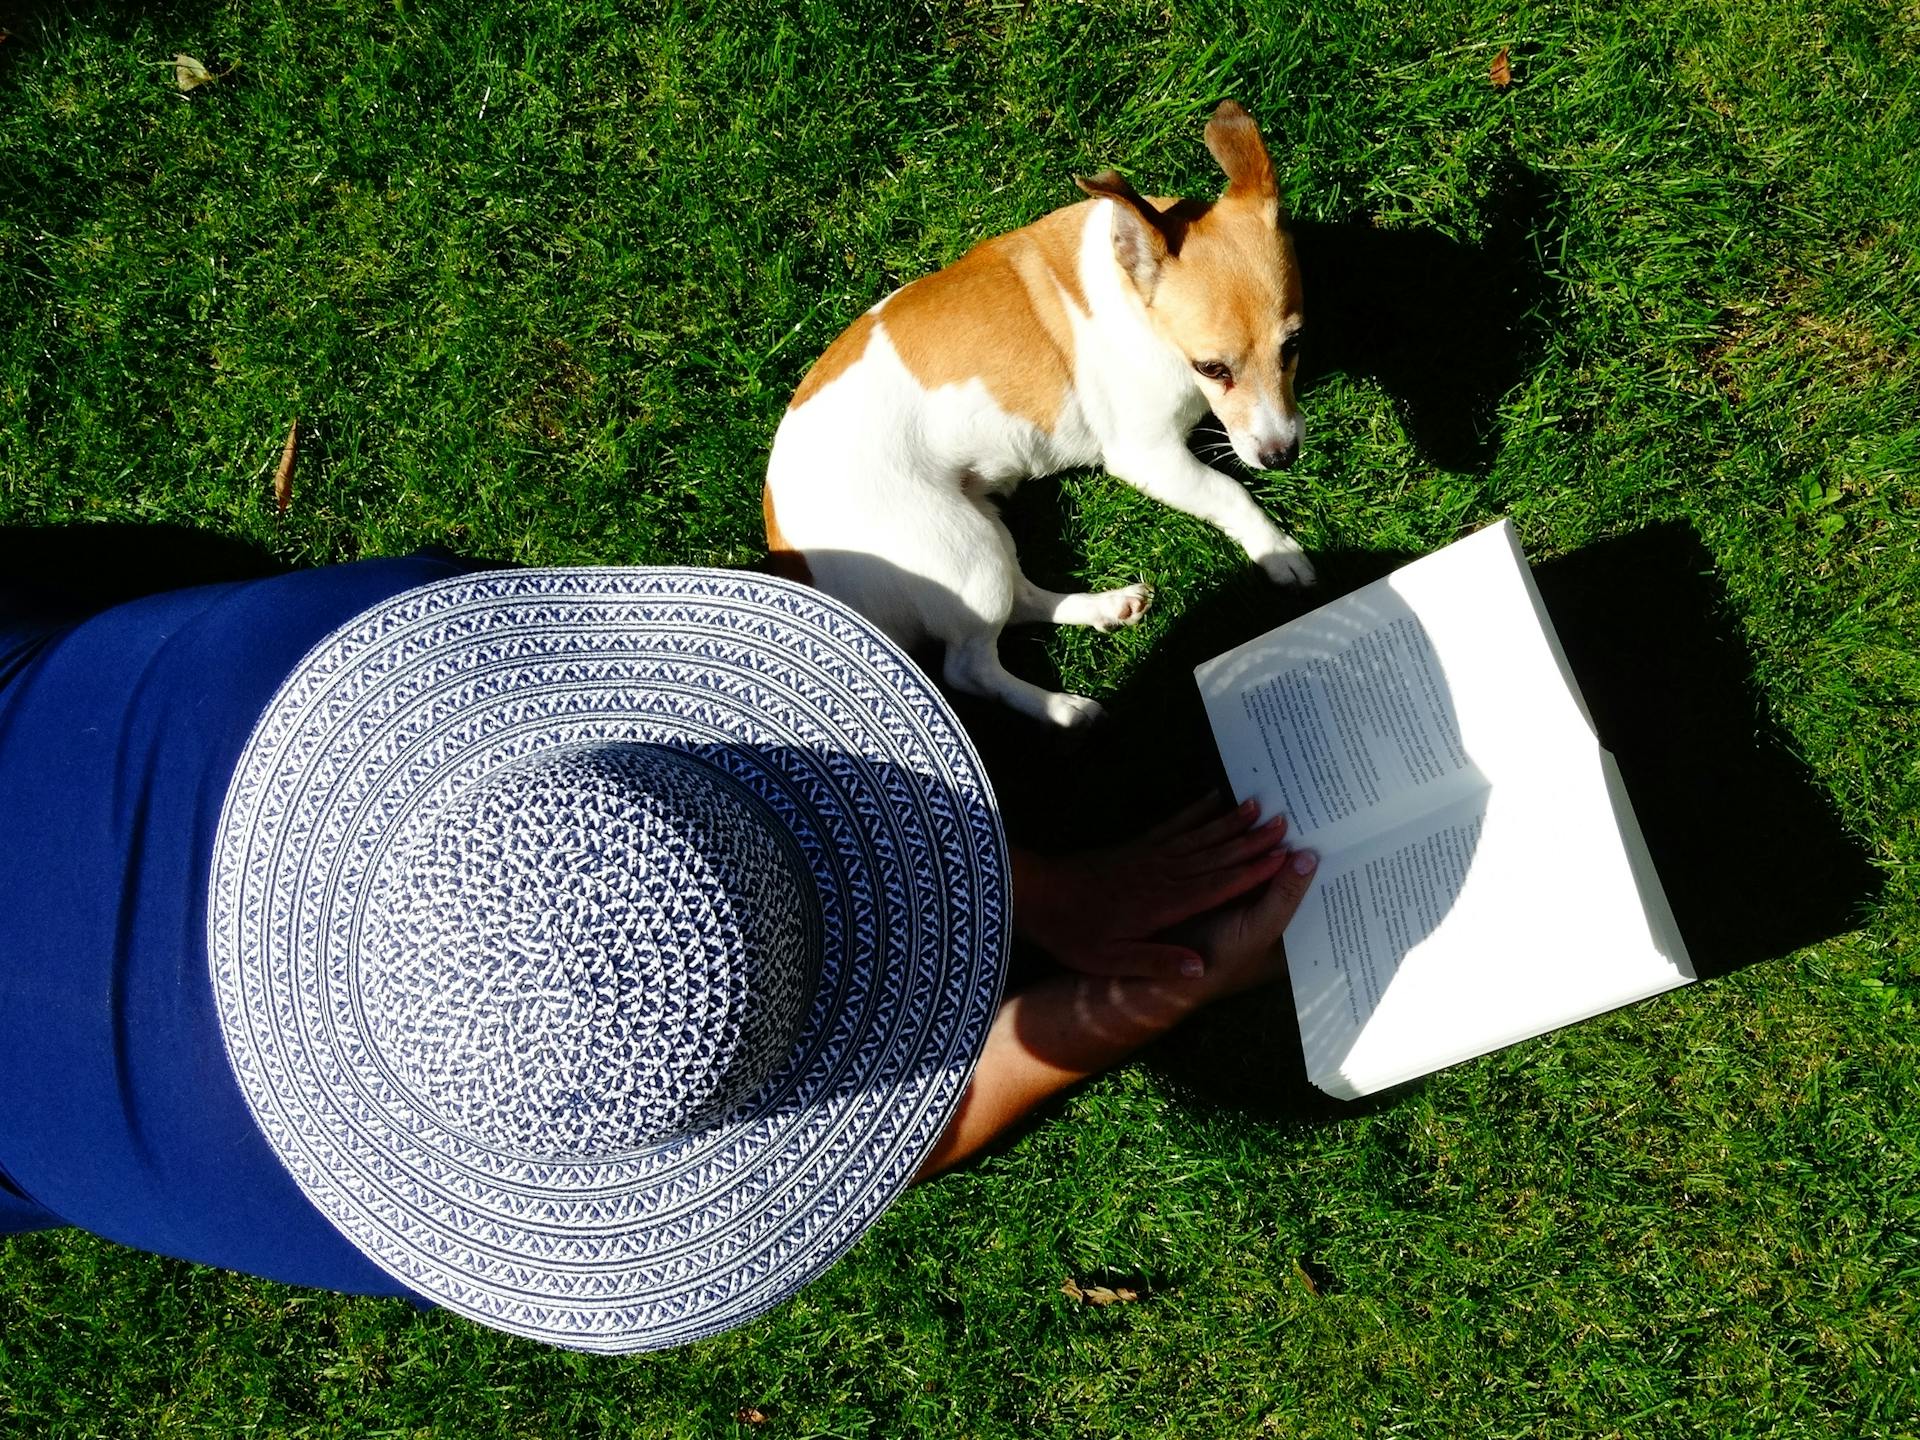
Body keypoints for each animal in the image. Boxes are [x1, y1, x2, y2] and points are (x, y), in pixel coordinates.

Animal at [764, 100, 1320, 725]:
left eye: (1295, 343)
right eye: (1212, 368)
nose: (1282, 455)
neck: (1133, 295)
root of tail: (793, 560)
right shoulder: (1148, 457)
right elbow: (1231, 491)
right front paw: (1276, 551)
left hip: (982, 529)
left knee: (1022, 600)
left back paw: (1105, 606)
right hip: (959, 550)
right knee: (970, 667)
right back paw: (1064, 708)